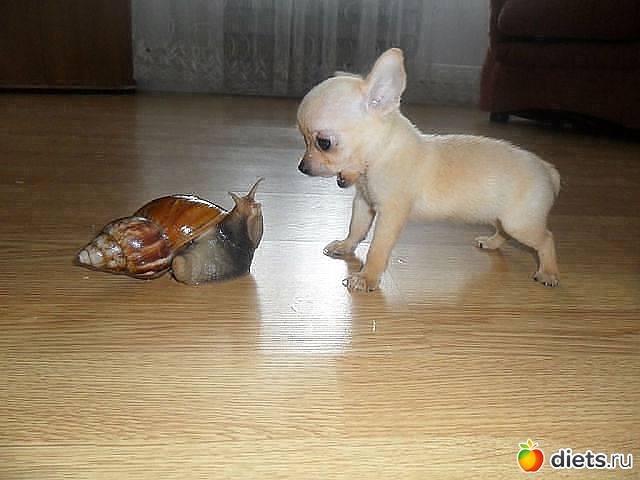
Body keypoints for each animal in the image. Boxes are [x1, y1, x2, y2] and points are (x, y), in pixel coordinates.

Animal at [297, 48, 560, 292]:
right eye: (304, 139)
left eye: (323, 143)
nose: (301, 167)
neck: (381, 155)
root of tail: (546, 169)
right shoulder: (364, 202)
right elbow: (356, 229)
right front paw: (345, 245)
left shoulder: (390, 214)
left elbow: (377, 249)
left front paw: (367, 277)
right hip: (501, 216)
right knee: (504, 232)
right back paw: (492, 242)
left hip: (520, 223)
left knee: (547, 239)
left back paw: (548, 272)